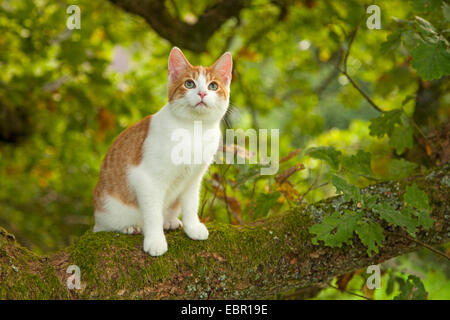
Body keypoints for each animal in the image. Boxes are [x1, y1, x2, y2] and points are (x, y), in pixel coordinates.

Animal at [91, 47, 232, 256]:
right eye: (189, 84)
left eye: (213, 86)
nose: (202, 93)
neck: (194, 129)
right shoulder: (146, 179)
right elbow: (152, 214)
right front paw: (155, 240)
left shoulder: (193, 179)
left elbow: (191, 204)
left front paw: (192, 227)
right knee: (107, 226)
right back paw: (130, 227)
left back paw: (170, 220)